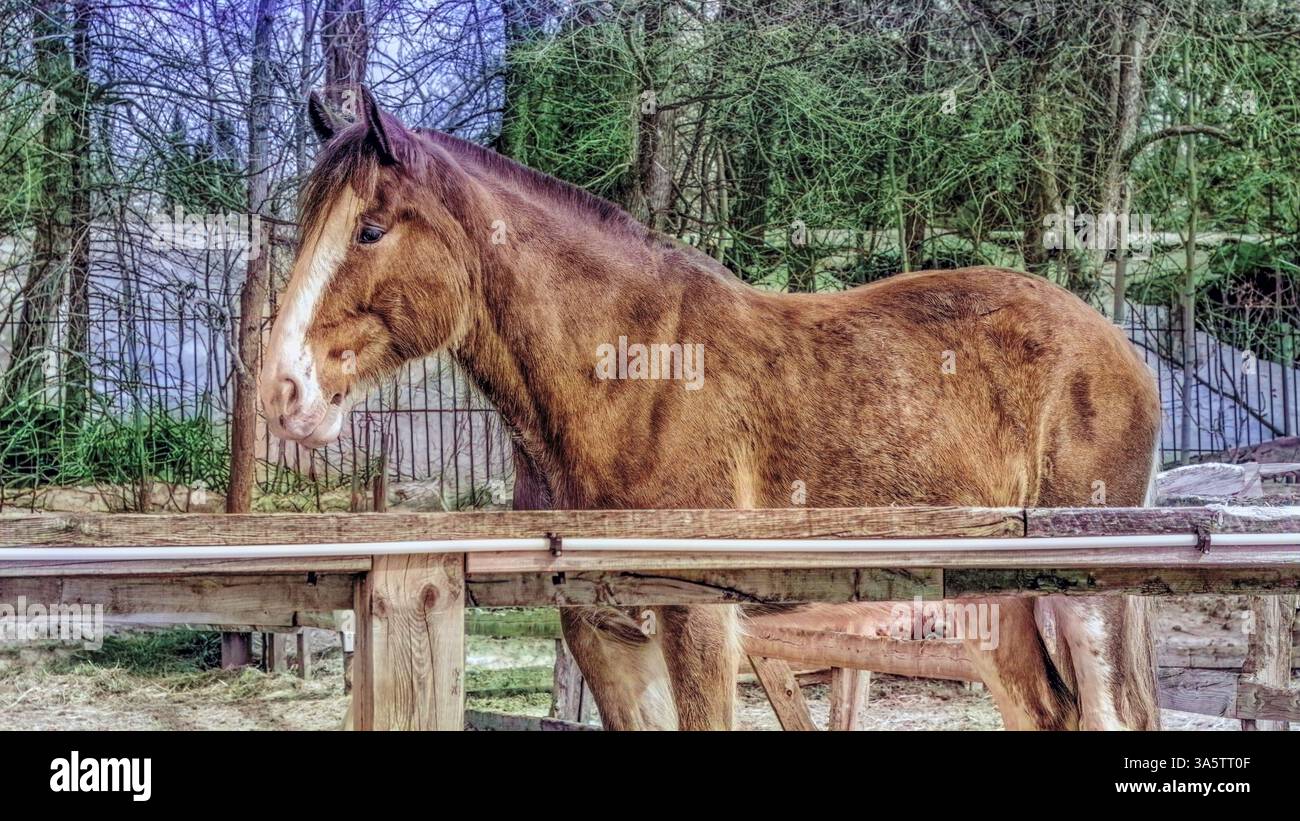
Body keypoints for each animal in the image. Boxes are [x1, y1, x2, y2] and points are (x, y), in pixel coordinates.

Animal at [260, 88, 1163, 730]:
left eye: (372, 229)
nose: (283, 390)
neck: (628, 380)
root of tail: (1119, 350)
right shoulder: (606, 634)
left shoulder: (697, 622)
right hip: (998, 607)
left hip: (1085, 602)